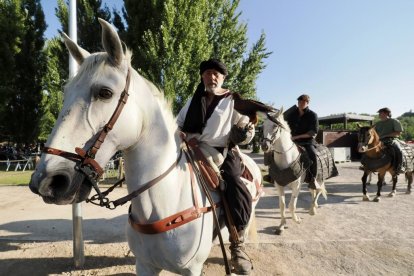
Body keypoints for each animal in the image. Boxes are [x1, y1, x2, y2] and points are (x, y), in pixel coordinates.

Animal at [29, 18, 262, 274]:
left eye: (105, 92)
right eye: (66, 93)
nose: (47, 181)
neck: (164, 201)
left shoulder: (191, 269)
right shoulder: (145, 265)